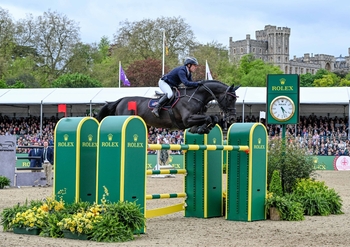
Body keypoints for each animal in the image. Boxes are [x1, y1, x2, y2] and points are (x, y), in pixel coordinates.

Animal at [98, 80, 241, 134]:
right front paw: (202, 128)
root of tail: (121, 100)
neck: (195, 96)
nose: (232, 118)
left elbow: (213, 118)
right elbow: (209, 118)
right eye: (230, 99)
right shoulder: (187, 119)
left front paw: (201, 129)